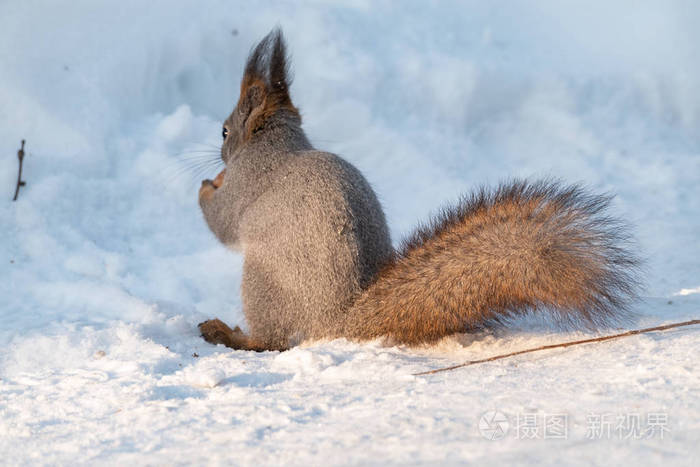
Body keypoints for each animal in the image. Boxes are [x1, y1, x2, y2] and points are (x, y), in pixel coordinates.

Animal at [196, 29, 640, 352]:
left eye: (224, 131)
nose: (217, 156)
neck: (279, 143)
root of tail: (338, 321)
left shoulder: (248, 181)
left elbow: (224, 222)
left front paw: (206, 188)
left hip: (263, 282)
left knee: (271, 342)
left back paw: (230, 335)